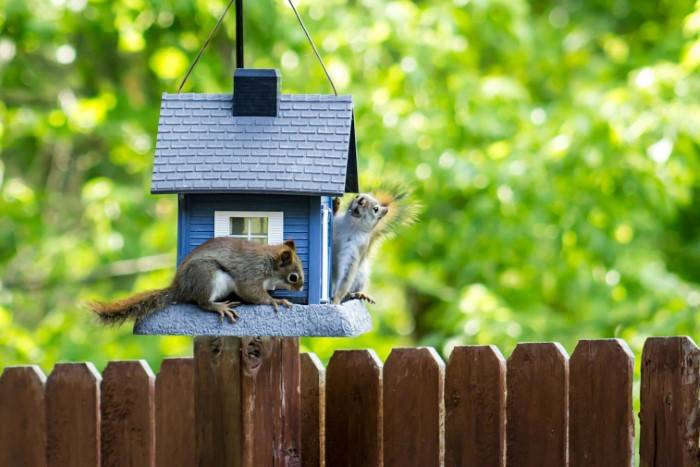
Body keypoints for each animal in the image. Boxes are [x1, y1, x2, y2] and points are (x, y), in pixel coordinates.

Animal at [90, 237, 304, 324]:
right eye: (293, 277)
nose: (302, 288)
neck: (269, 262)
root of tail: (180, 288)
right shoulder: (250, 273)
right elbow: (252, 293)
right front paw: (276, 300)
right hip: (207, 276)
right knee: (202, 302)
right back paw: (219, 307)